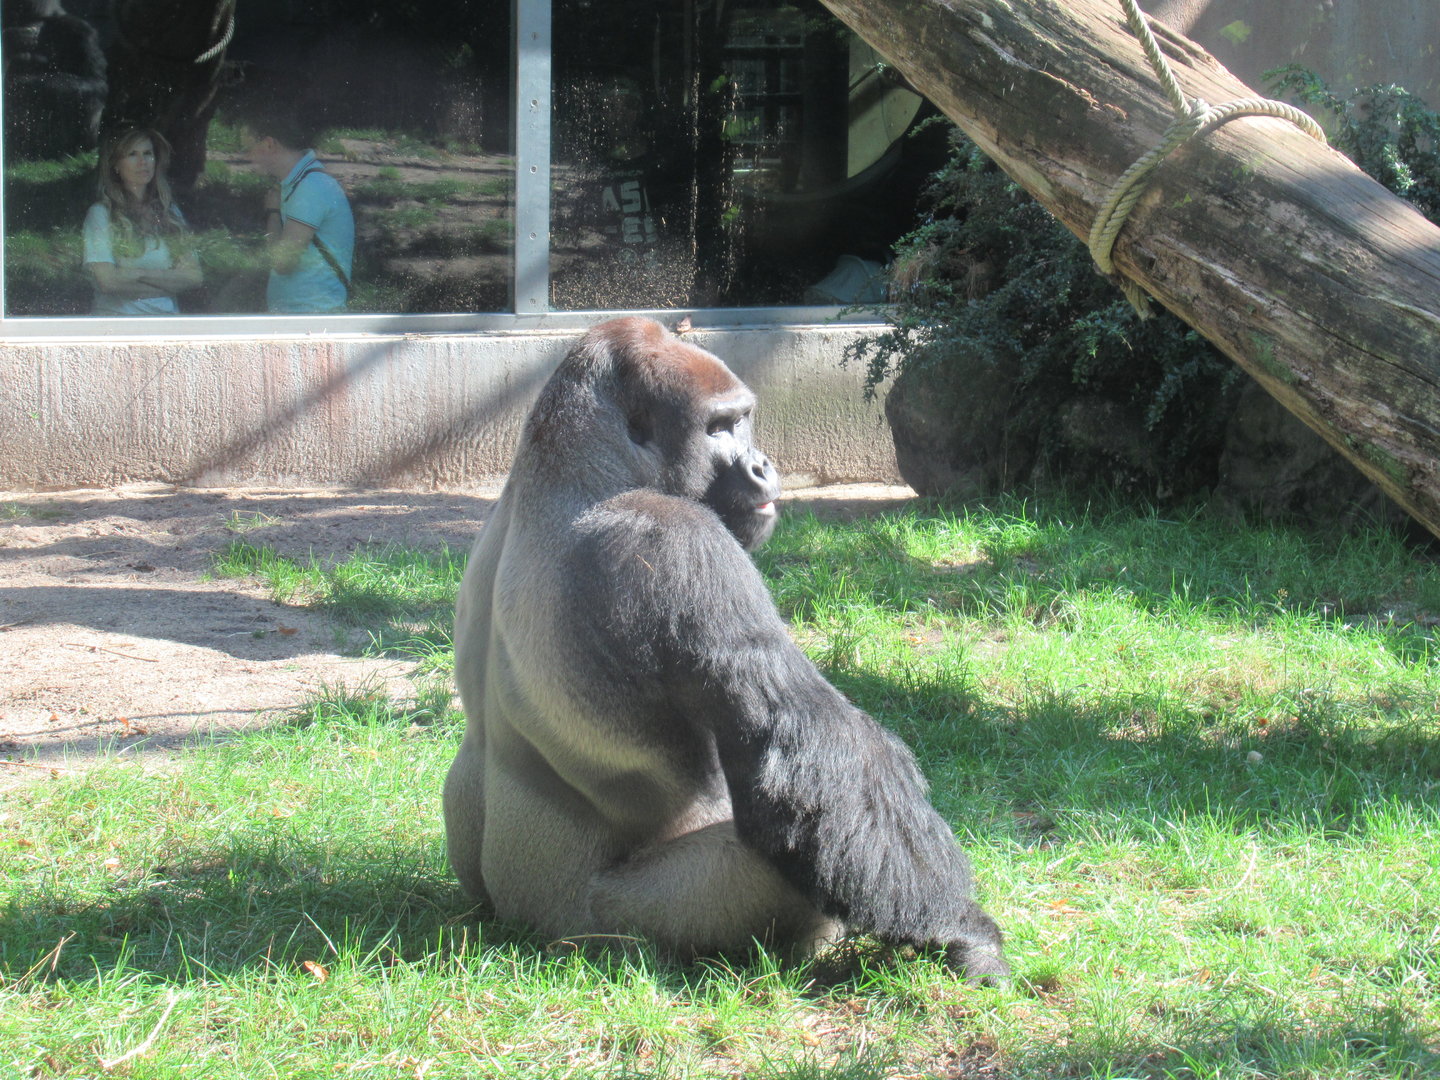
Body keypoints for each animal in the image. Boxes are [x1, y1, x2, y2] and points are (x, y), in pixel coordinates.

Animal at [443, 316, 1007, 982]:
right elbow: (803, 745)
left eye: (742, 420)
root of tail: (519, 924)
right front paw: (960, 930)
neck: (577, 471)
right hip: (604, 930)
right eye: (717, 428)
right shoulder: (680, 541)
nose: (762, 465)